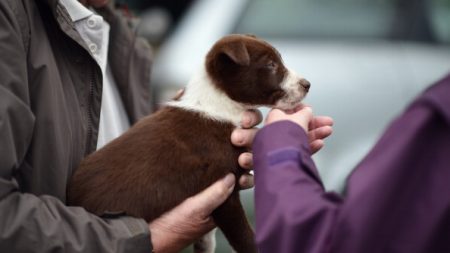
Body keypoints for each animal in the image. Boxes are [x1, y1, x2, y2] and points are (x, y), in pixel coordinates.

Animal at [67, 34, 310, 253]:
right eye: (270, 65)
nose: (307, 84)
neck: (218, 103)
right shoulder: (225, 194)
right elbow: (243, 236)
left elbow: (209, 238)